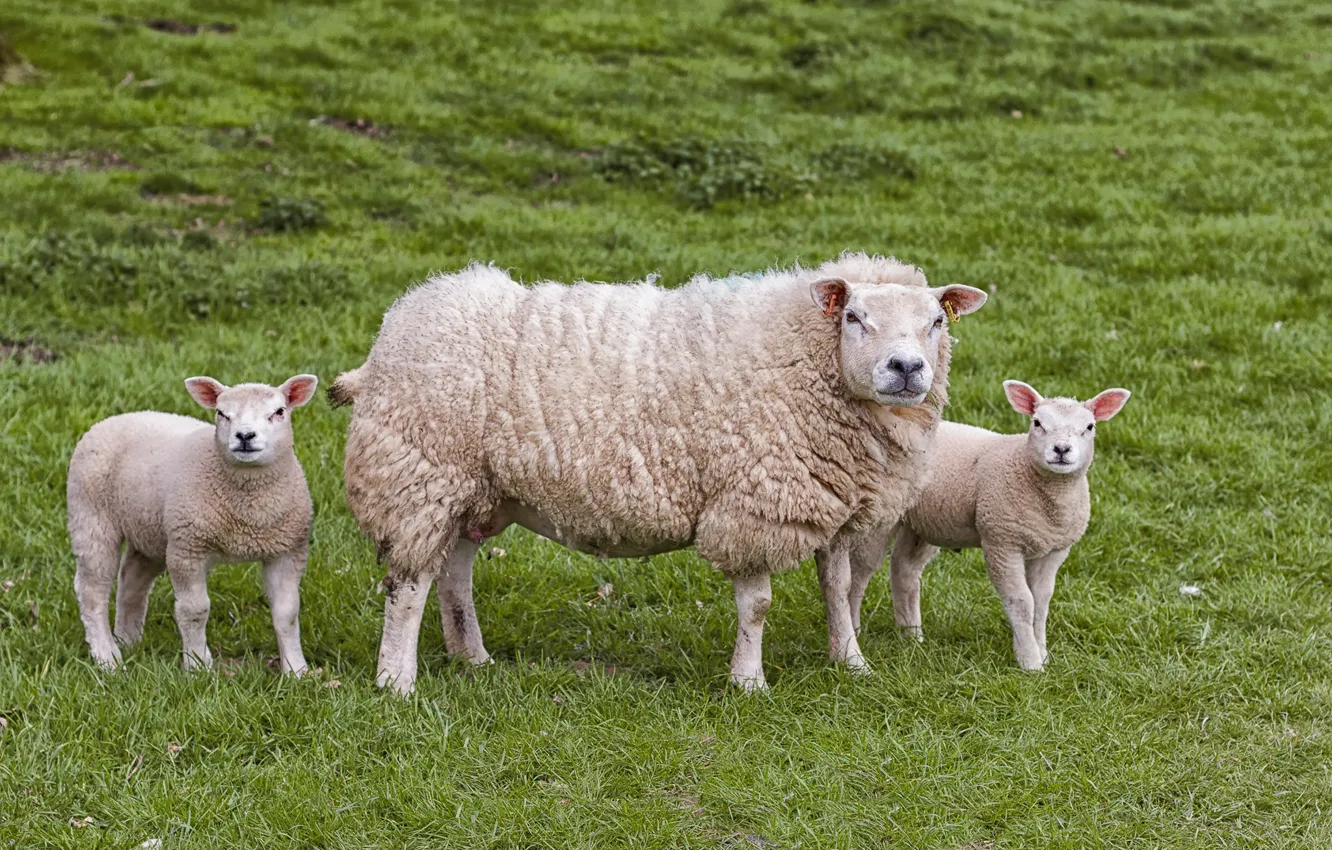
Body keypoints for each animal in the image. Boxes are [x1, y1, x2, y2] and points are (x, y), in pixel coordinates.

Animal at [67, 375, 319, 674]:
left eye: (279, 412)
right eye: (221, 413)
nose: (245, 436)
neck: (247, 515)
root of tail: (111, 419)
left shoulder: (287, 550)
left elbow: (287, 613)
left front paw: (296, 670)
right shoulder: (188, 550)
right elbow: (195, 610)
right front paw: (198, 665)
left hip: (152, 531)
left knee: (132, 580)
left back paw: (128, 640)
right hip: (92, 517)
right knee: (92, 590)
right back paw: (108, 656)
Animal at [329, 253, 988, 694]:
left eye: (937, 322)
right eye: (853, 316)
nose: (906, 368)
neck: (800, 357)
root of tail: (399, 321)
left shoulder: (831, 502)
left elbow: (839, 589)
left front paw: (851, 662)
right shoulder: (752, 505)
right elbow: (759, 605)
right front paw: (748, 682)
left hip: (472, 491)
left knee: (453, 574)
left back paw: (472, 657)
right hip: (420, 476)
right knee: (408, 584)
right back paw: (396, 681)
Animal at [834, 380, 1131, 670]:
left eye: (1089, 427)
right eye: (1037, 423)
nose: (1061, 450)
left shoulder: (1053, 550)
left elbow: (1042, 601)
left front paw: (1041, 652)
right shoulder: (1002, 541)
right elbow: (1022, 601)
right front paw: (1031, 663)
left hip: (922, 522)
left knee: (904, 570)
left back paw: (912, 635)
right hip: (878, 521)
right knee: (859, 575)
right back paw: (855, 632)